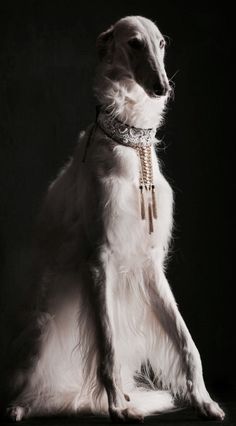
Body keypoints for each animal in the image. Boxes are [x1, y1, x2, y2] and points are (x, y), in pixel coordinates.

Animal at [3, 15, 225, 422]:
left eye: (161, 43)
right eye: (133, 43)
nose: (162, 87)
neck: (131, 145)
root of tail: (68, 392)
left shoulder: (150, 263)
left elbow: (187, 343)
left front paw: (203, 400)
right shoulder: (99, 258)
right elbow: (108, 348)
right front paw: (118, 405)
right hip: (40, 329)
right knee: (28, 386)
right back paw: (21, 405)